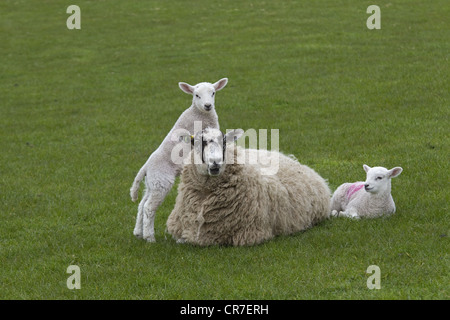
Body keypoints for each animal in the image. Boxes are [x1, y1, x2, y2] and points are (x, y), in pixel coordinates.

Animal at [130, 79, 229, 241]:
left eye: (213, 93)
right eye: (196, 95)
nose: (208, 105)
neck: (200, 114)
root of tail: (145, 167)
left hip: (152, 183)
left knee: (142, 204)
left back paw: (138, 232)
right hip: (161, 182)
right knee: (149, 207)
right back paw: (150, 237)